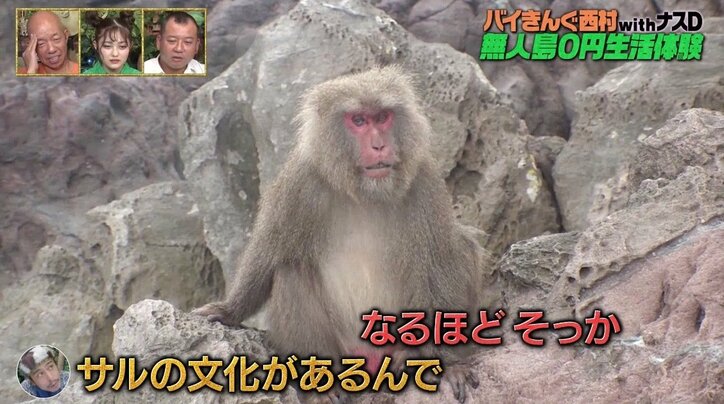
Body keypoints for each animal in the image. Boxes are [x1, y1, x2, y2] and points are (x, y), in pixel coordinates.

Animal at [193, 65, 485, 402]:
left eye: (382, 117)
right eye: (358, 121)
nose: (379, 145)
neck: (364, 193)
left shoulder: (424, 181)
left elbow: (439, 266)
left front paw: (450, 364)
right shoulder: (300, 182)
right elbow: (268, 255)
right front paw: (229, 310)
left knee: (462, 246)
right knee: (290, 273)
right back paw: (320, 384)